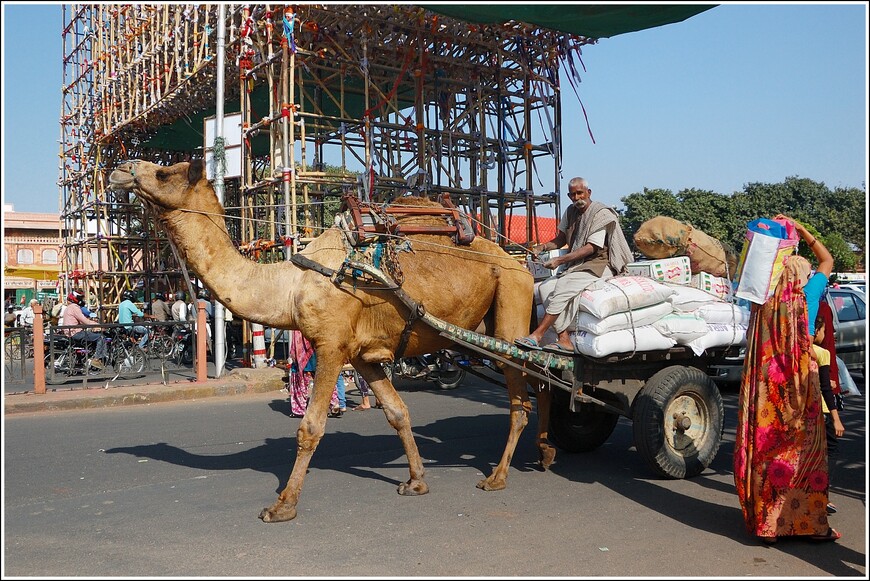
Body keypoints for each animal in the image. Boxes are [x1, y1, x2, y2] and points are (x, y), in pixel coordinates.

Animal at [110, 159, 560, 520]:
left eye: (163, 172)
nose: (119, 170)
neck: (291, 284)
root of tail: (523, 262)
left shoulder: (330, 346)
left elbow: (310, 427)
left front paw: (283, 505)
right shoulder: (361, 354)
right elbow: (397, 412)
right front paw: (416, 481)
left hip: (510, 305)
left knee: (524, 395)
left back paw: (498, 476)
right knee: (541, 381)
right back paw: (545, 453)